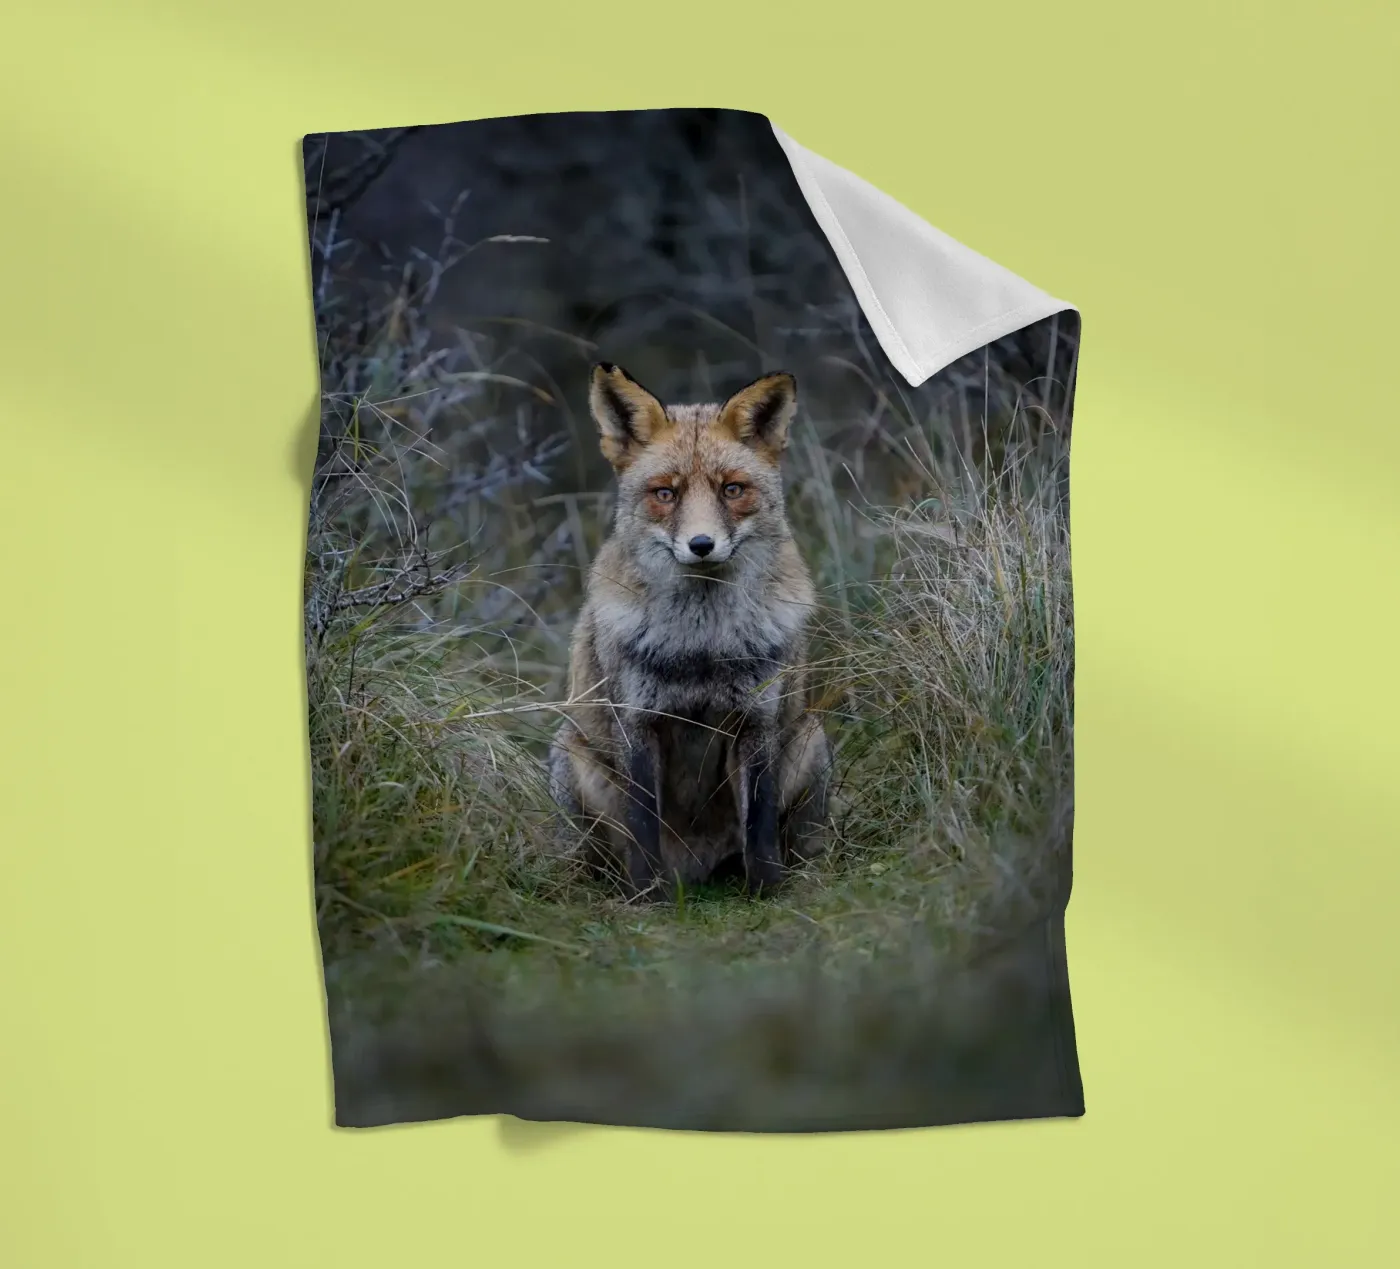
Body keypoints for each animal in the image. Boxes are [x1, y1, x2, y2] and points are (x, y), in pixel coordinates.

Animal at [548, 362, 831, 900]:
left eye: (732, 490)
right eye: (666, 493)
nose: (702, 545)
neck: (701, 645)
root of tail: (697, 870)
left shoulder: (757, 719)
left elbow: (760, 827)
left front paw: (767, 891)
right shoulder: (636, 722)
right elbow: (643, 827)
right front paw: (648, 899)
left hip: (811, 736)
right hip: (571, 756)